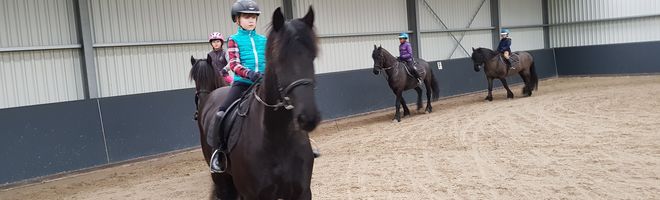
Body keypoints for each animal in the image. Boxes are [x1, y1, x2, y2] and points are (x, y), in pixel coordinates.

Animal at [188, 6, 320, 200]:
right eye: (279, 58)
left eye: (312, 56)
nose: (308, 117)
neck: (278, 137)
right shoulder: (254, 194)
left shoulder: (302, 192)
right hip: (222, 182)